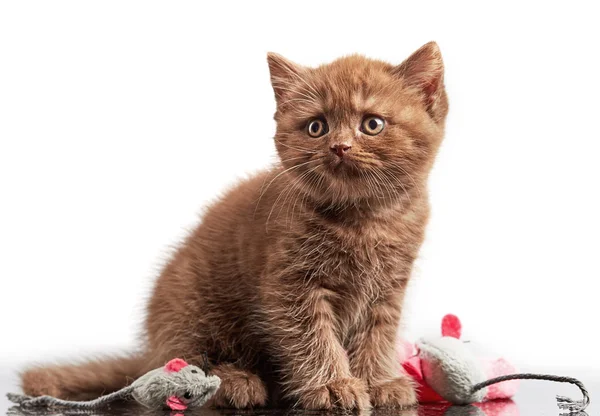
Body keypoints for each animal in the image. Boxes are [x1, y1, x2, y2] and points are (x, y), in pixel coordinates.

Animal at [21, 40, 448, 412]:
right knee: (180, 363)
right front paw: (332, 384)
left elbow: (377, 335)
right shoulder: (290, 286)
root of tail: (150, 350)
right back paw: (234, 382)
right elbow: (312, 336)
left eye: (372, 124)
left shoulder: (387, 290)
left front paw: (379, 382)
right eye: (317, 127)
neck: (364, 221)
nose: (339, 147)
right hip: (190, 303)